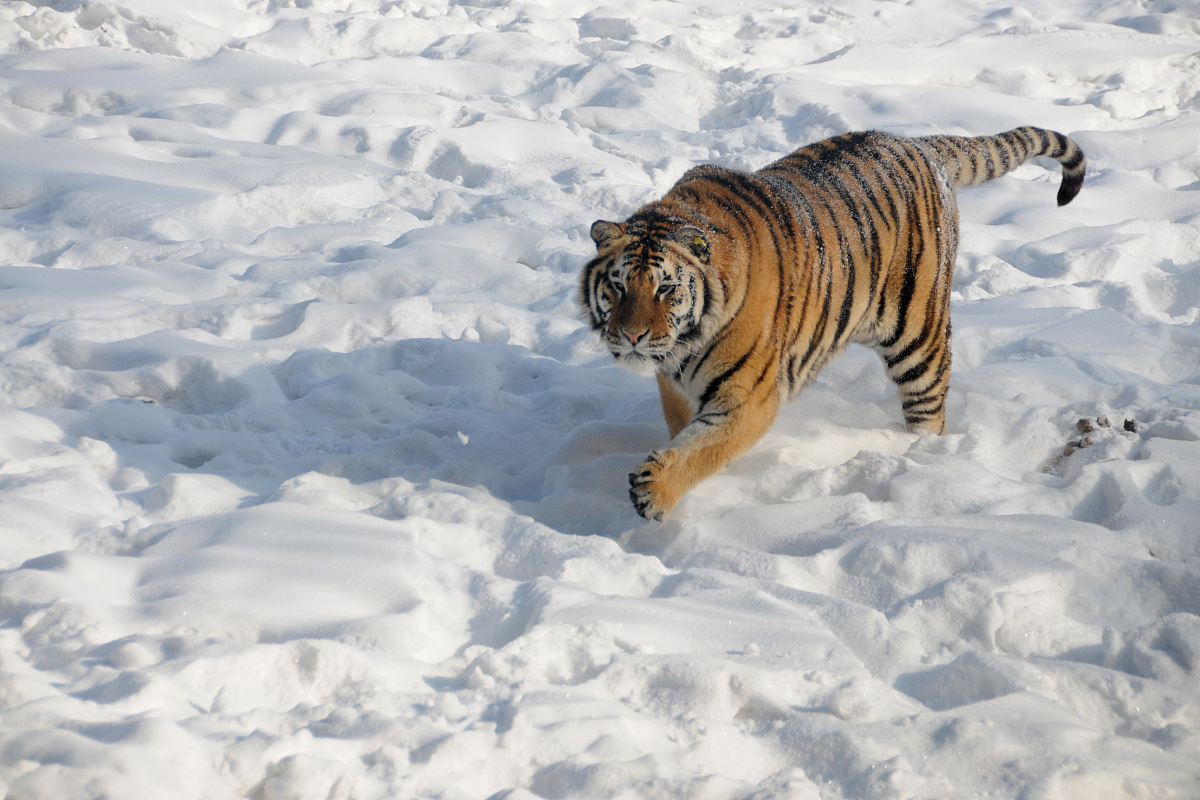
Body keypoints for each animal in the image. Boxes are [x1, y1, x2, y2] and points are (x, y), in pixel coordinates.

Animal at [578, 125, 1089, 522]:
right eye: (619, 286)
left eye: (665, 288)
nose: (632, 335)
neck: (684, 345)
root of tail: (917, 143)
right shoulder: (675, 384)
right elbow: (685, 432)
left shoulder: (748, 397)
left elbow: (705, 446)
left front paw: (654, 491)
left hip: (918, 337)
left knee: (929, 412)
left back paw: (920, 460)